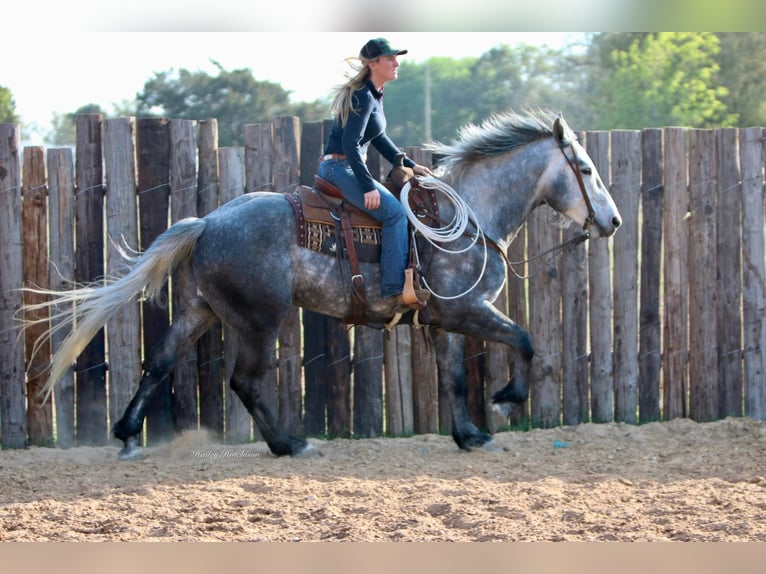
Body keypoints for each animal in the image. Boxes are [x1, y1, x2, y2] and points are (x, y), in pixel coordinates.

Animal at [28, 110, 624, 462]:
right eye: (586, 169)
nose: (614, 221)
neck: (470, 218)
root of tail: (207, 223)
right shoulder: (466, 311)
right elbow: (525, 340)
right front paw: (504, 403)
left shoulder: (442, 322)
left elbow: (454, 378)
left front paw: (470, 435)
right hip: (259, 319)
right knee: (245, 382)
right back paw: (289, 443)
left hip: (200, 310)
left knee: (160, 362)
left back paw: (129, 435)